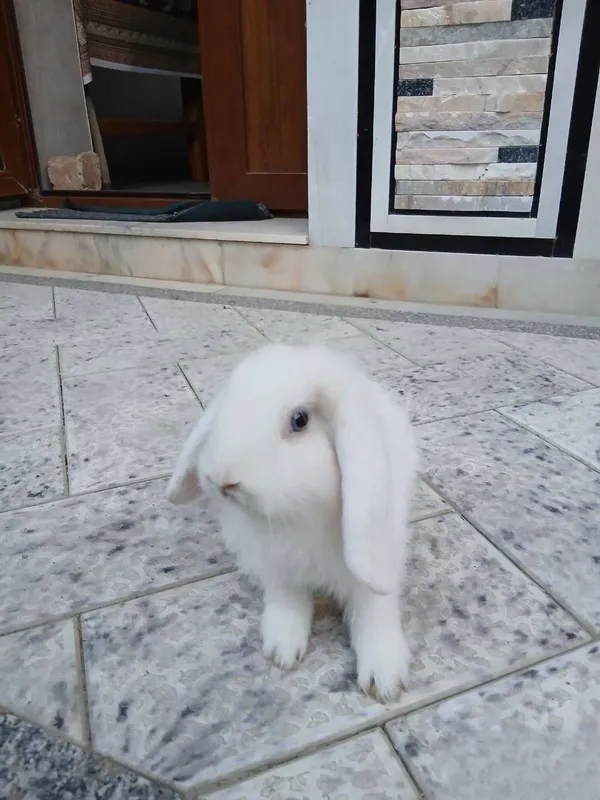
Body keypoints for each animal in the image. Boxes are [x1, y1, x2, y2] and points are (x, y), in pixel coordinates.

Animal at [166, 342, 418, 702]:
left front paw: (384, 680)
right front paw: (282, 650)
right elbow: (287, 600)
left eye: (300, 420)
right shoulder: (278, 566)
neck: (299, 517)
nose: (223, 480)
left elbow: (374, 608)